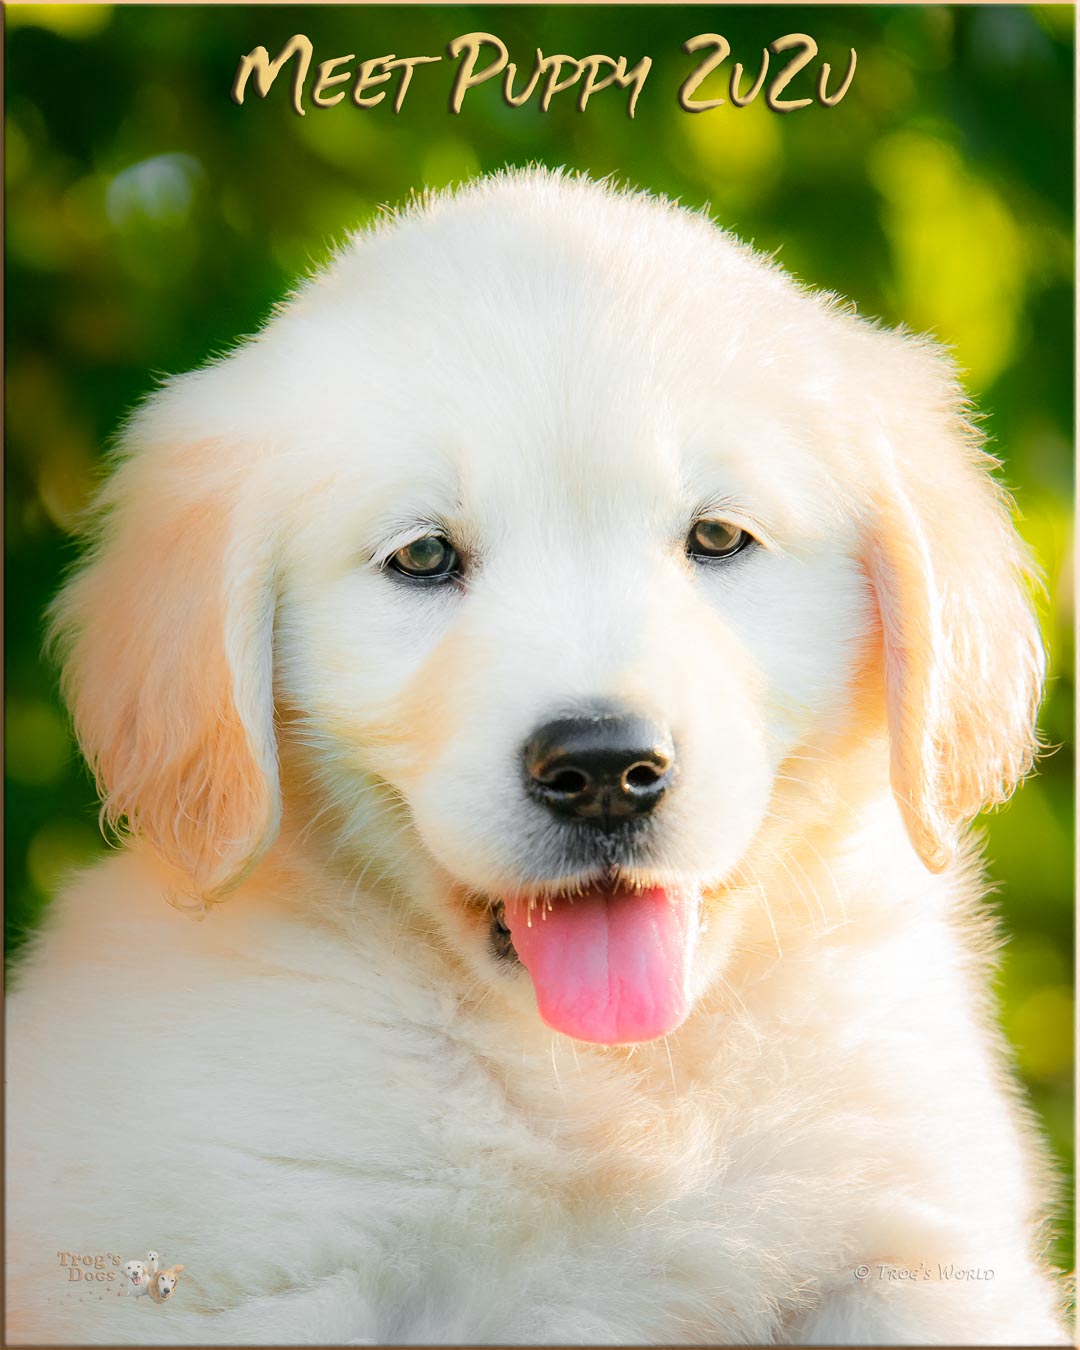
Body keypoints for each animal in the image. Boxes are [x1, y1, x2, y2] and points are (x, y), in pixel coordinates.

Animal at [4, 174, 1069, 1344]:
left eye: (718, 539)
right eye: (424, 556)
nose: (603, 771)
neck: (593, 1076)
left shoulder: (912, 1242)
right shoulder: (229, 1271)